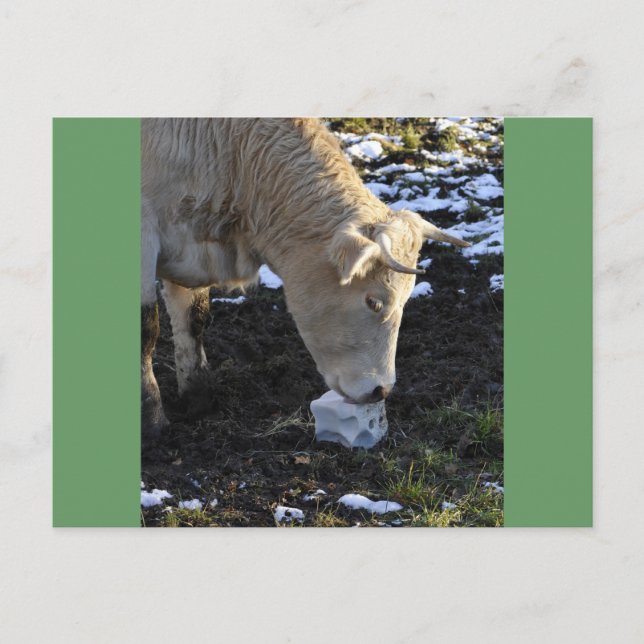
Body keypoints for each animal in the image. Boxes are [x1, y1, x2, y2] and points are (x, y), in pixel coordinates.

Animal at [141, 118, 469, 433]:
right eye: (374, 302)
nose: (382, 390)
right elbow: (148, 328)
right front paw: (152, 420)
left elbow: (193, 319)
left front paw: (198, 400)